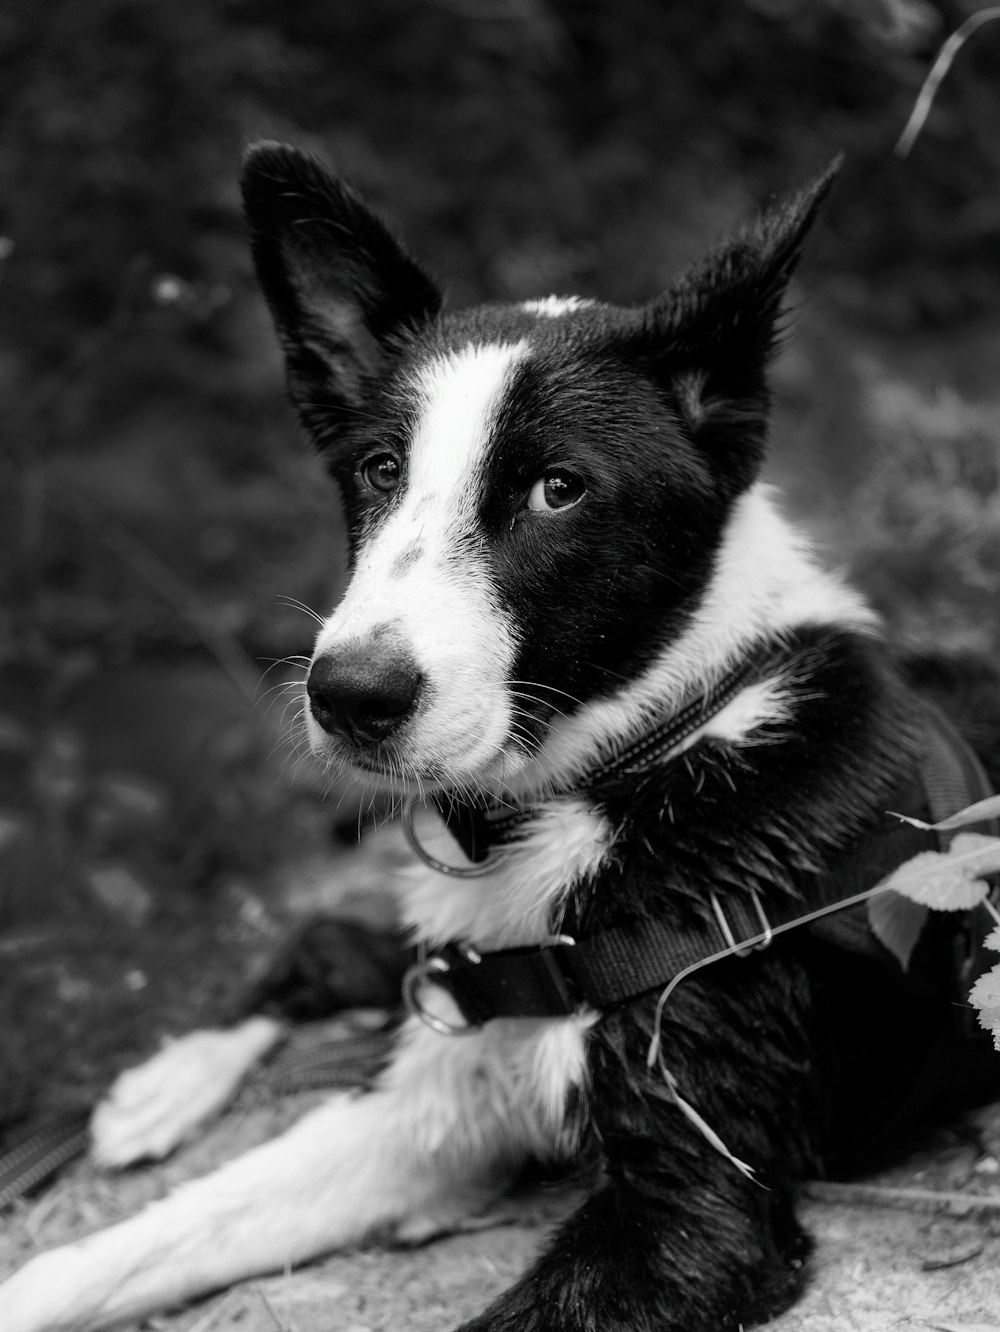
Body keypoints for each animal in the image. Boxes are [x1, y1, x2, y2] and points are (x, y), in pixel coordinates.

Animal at [1, 145, 1000, 1332]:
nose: (349, 696)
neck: (633, 764)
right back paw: (157, 1087)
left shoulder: (693, 1206)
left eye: (557, 489)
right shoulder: (434, 1087)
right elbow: (118, 1253)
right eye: (380, 469)